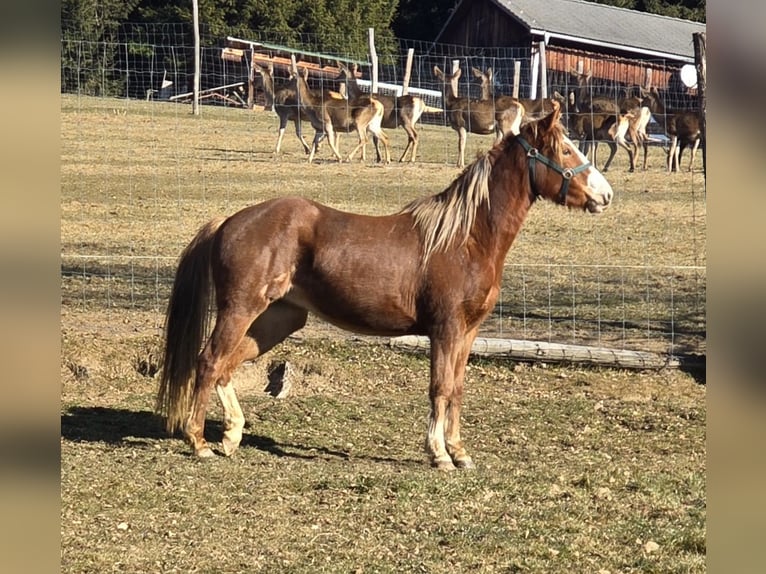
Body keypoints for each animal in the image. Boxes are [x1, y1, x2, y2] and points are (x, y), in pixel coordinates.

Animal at [158, 103, 616, 472]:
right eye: (566, 151)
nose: (606, 195)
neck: (465, 238)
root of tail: (229, 221)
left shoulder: (468, 333)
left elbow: (457, 390)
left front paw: (460, 452)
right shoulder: (445, 330)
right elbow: (439, 388)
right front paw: (439, 455)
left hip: (278, 319)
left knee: (226, 366)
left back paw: (231, 436)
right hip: (240, 309)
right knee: (209, 361)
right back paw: (199, 441)